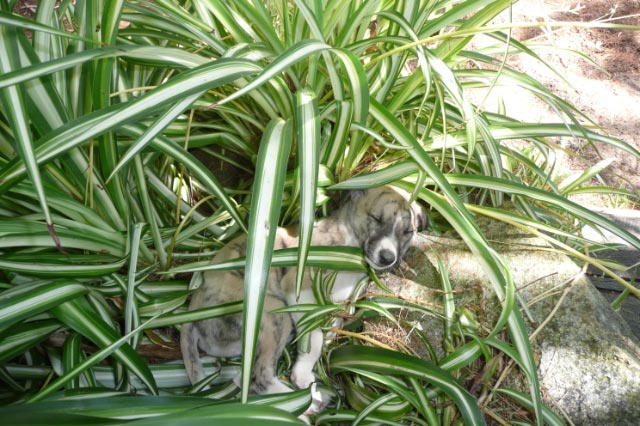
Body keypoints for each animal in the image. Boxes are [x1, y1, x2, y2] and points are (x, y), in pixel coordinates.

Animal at [180, 186, 426, 410]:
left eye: (408, 232)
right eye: (375, 218)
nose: (387, 258)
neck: (348, 250)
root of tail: (192, 309)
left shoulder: (341, 303)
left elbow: (329, 328)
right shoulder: (299, 290)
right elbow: (313, 338)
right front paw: (303, 374)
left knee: (242, 378)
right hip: (273, 311)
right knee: (259, 377)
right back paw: (306, 403)